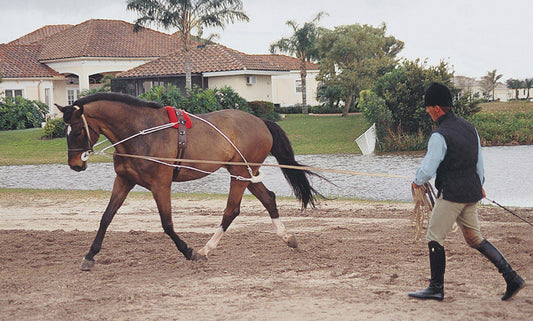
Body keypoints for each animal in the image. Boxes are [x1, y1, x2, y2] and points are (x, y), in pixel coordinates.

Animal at [58, 92, 322, 270]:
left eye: (78, 131)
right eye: (65, 131)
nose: (75, 165)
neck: (141, 133)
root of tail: (260, 122)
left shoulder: (160, 186)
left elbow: (167, 224)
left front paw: (188, 251)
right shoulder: (123, 181)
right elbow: (106, 217)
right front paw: (90, 256)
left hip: (239, 174)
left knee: (231, 210)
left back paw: (206, 249)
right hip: (245, 174)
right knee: (269, 199)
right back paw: (287, 238)